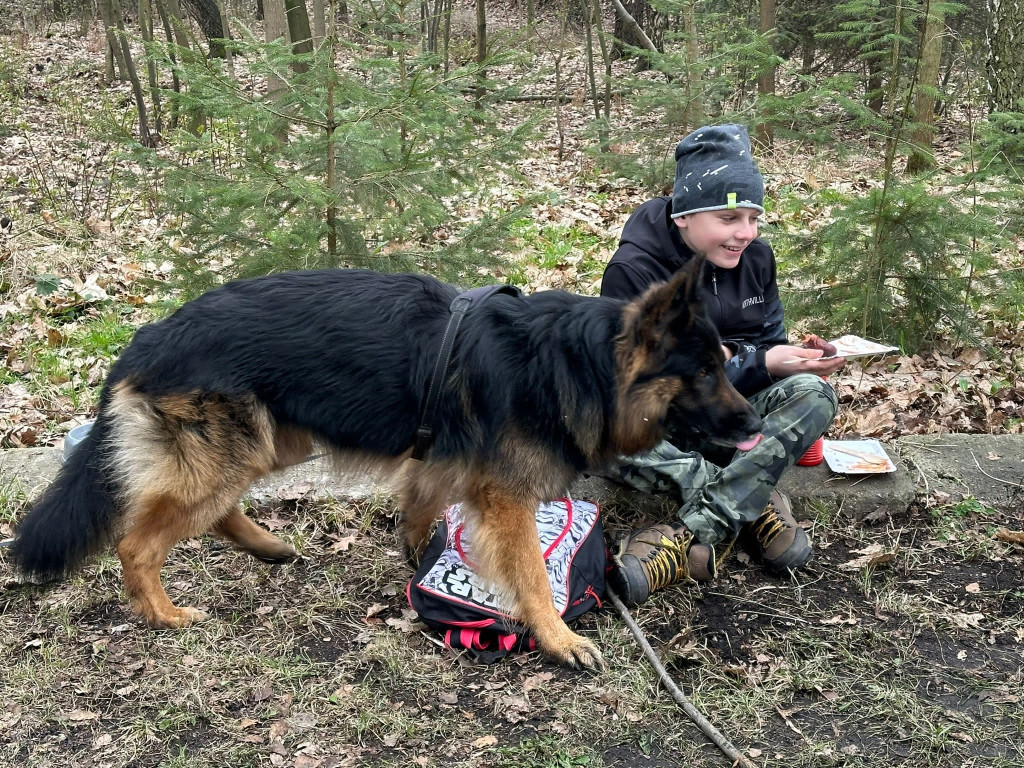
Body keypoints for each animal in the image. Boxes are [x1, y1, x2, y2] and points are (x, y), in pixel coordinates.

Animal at [8, 256, 761, 671]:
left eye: (726, 363)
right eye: (703, 372)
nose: (755, 424)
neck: (577, 364)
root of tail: (147, 336)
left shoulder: (439, 467)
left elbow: (419, 510)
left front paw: (417, 559)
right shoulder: (506, 499)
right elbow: (530, 577)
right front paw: (556, 637)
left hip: (273, 443)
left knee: (215, 511)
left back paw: (266, 545)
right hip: (229, 454)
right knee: (137, 543)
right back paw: (164, 615)